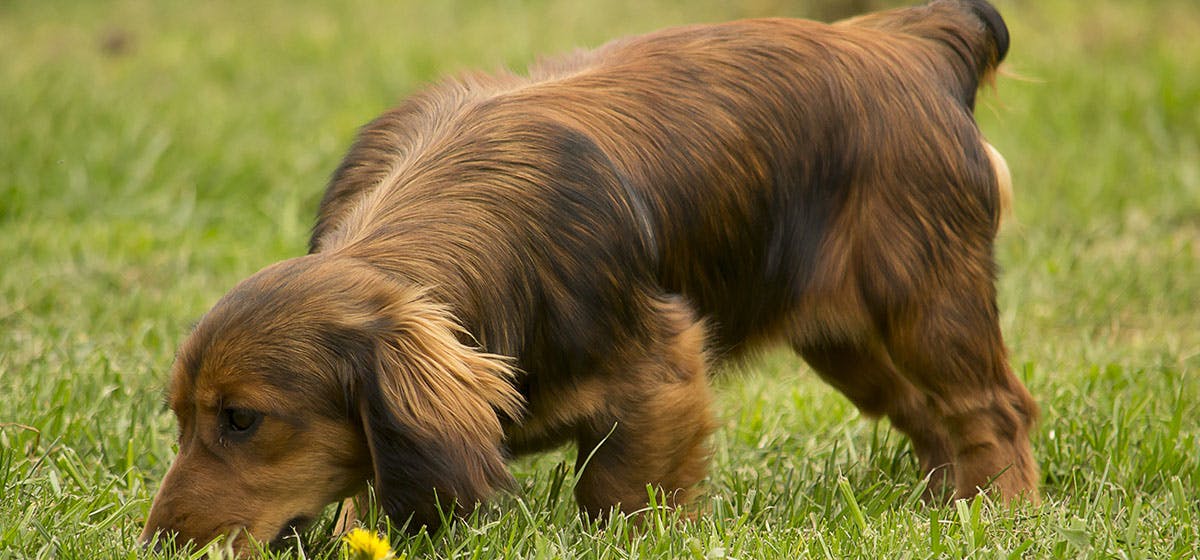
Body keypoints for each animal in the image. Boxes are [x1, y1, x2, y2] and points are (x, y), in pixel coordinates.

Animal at [140, 0, 1041, 551]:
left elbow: (617, 492)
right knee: (930, 420)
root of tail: (913, 39)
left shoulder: (660, 374)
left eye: (244, 419)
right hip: (848, 342)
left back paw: (1000, 516)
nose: (156, 545)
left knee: (995, 409)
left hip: (926, 302)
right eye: (179, 417)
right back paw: (940, 511)